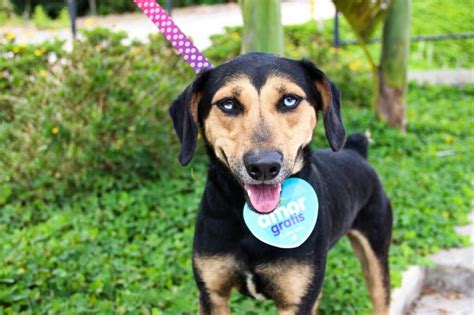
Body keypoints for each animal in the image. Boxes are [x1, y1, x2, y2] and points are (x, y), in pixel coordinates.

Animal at [169, 53, 392, 314]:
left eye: (289, 100)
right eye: (228, 104)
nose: (264, 167)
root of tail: (357, 151)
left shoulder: (296, 301)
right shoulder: (212, 294)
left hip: (376, 256)